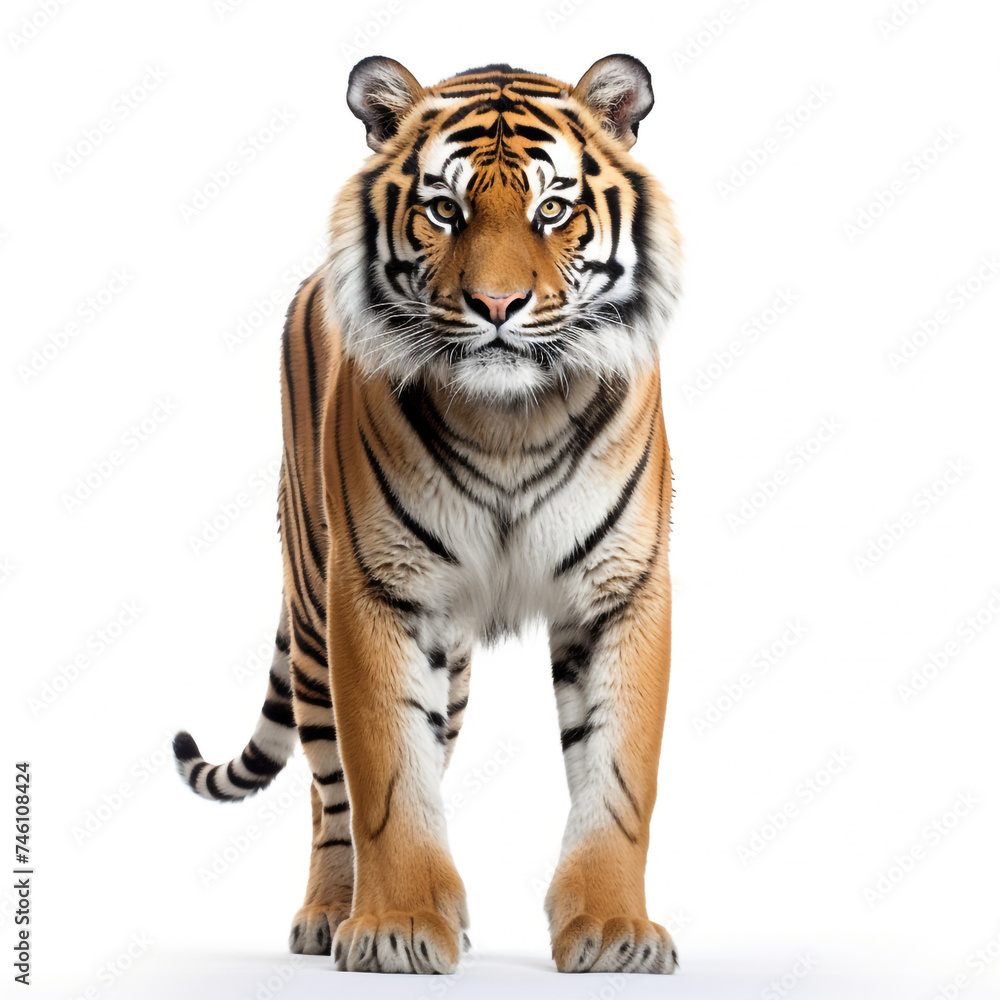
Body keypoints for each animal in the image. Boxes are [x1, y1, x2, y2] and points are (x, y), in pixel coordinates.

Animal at [174, 53, 682, 975]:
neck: (514, 419)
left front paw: (615, 929)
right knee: (329, 789)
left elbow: (620, 773)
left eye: (552, 210)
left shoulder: (621, 590)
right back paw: (330, 913)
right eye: (445, 209)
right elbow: (382, 776)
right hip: (313, 616)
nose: (497, 305)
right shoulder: (377, 590)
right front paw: (398, 924)